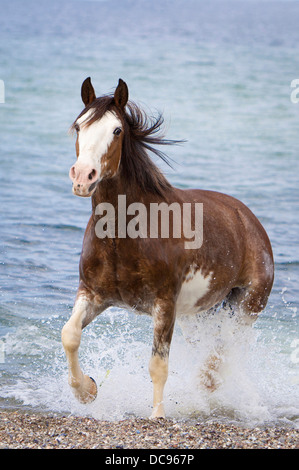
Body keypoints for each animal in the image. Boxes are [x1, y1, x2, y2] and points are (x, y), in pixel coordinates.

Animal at [62, 78, 276, 418]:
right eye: (79, 126)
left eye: (116, 130)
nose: (83, 177)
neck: (124, 234)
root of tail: (249, 221)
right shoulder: (94, 294)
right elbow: (69, 335)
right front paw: (88, 391)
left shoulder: (164, 303)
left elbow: (158, 365)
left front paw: (158, 416)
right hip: (195, 314)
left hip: (246, 307)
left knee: (223, 351)